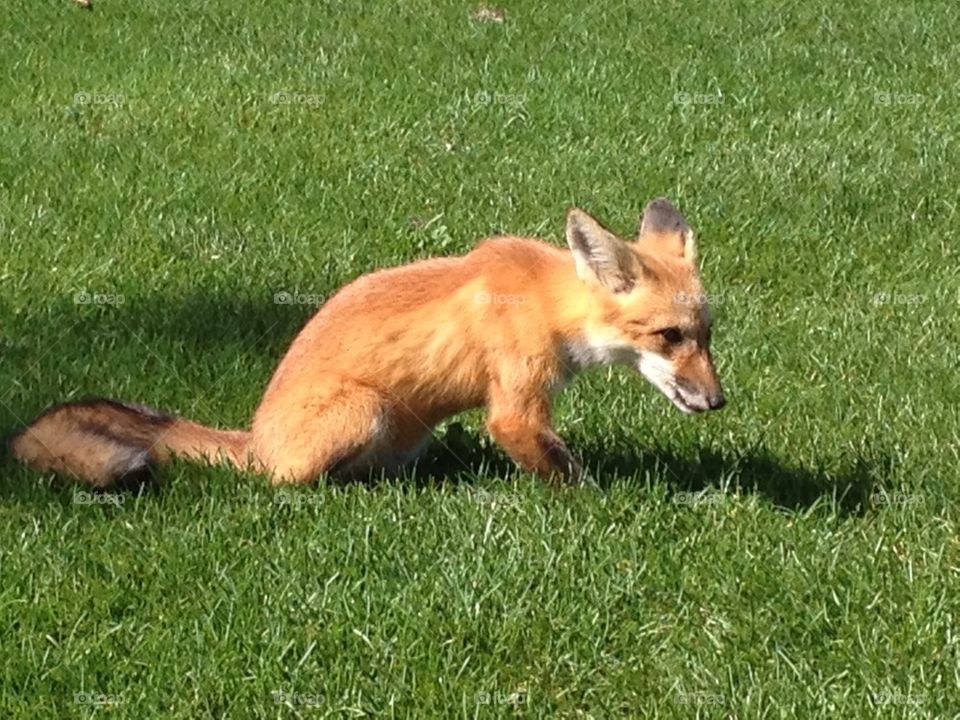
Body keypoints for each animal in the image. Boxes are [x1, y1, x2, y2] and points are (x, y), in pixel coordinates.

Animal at [7, 198, 725, 488]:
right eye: (669, 336)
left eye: (707, 335)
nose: (718, 402)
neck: (545, 303)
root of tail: (255, 436)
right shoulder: (514, 409)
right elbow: (568, 473)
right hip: (364, 410)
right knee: (293, 483)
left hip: (406, 432)